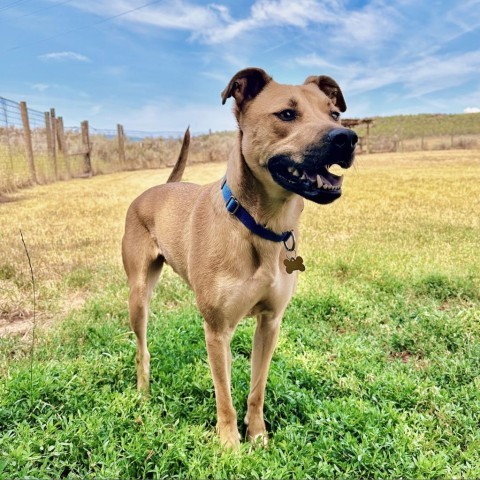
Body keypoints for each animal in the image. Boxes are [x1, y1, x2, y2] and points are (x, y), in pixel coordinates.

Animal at [122, 68, 358, 450]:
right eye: (287, 114)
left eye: (334, 114)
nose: (347, 139)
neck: (260, 226)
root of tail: (157, 188)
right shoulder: (218, 331)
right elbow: (224, 395)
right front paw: (229, 444)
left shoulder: (270, 323)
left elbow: (256, 389)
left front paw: (257, 434)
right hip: (138, 295)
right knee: (142, 349)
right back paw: (143, 394)